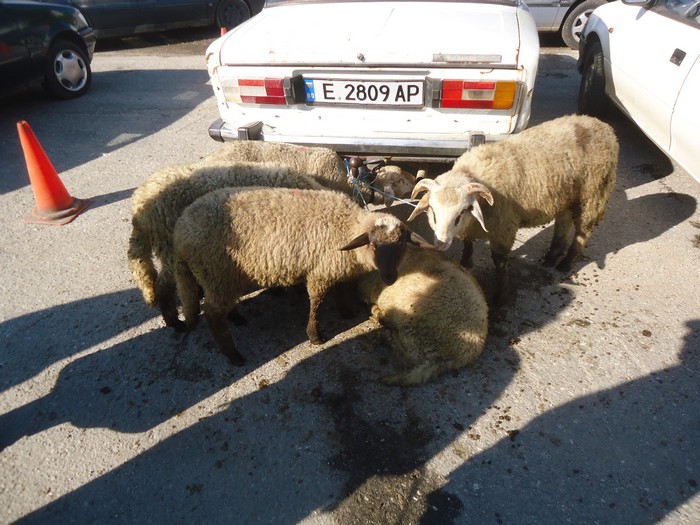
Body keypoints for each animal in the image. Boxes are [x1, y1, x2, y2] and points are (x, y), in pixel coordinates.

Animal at [171, 187, 432, 364]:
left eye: (401, 245)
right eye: (375, 245)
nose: (389, 277)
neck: (346, 226)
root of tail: (180, 232)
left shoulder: (334, 267)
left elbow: (341, 290)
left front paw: (346, 312)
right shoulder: (320, 272)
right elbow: (316, 304)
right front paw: (315, 336)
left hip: (221, 277)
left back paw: (236, 318)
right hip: (216, 272)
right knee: (213, 314)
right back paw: (234, 355)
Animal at [408, 115, 616, 302]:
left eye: (462, 212)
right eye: (432, 210)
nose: (441, 243)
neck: (475, 173)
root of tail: (603, 125)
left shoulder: (504, 228)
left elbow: (499, 262)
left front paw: (501, 293)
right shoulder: (472, 227)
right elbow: (467, 244)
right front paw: (465, 263)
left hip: (594, 193)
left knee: (583, 231)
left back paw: (565, 263)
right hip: (566, 195)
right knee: (563, 223)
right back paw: (551, 257)